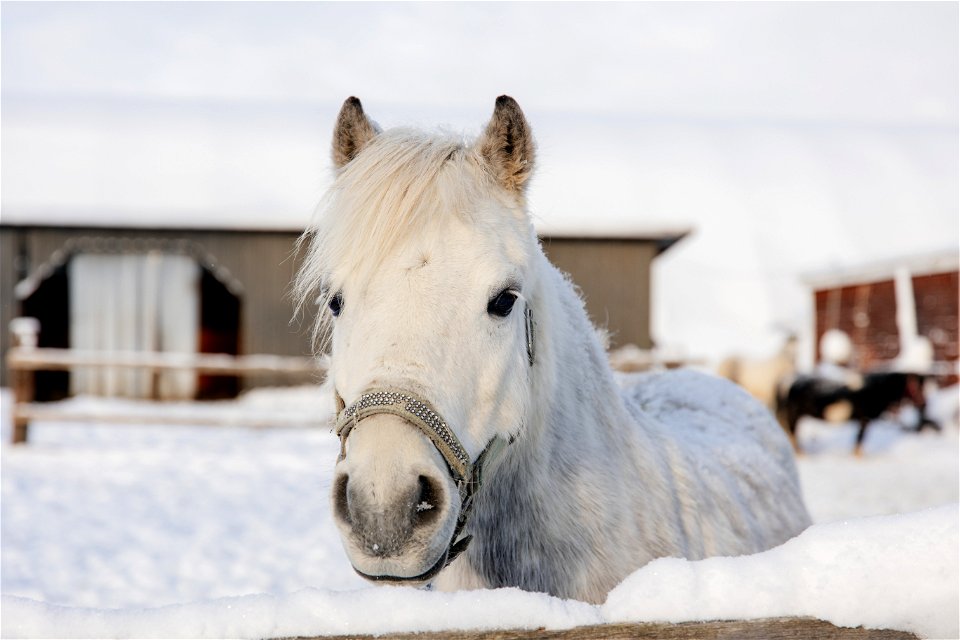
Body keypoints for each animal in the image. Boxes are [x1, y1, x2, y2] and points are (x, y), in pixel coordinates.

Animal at [776, 370, 940, 456]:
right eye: (916, 388)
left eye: (927, 386)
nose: (924, 404)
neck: (876, 389)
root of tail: (787, 381)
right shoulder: (864, 419)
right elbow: (859, 440)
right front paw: (859, 456)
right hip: (793, 416)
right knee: (793, 436)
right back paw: (802, 455)